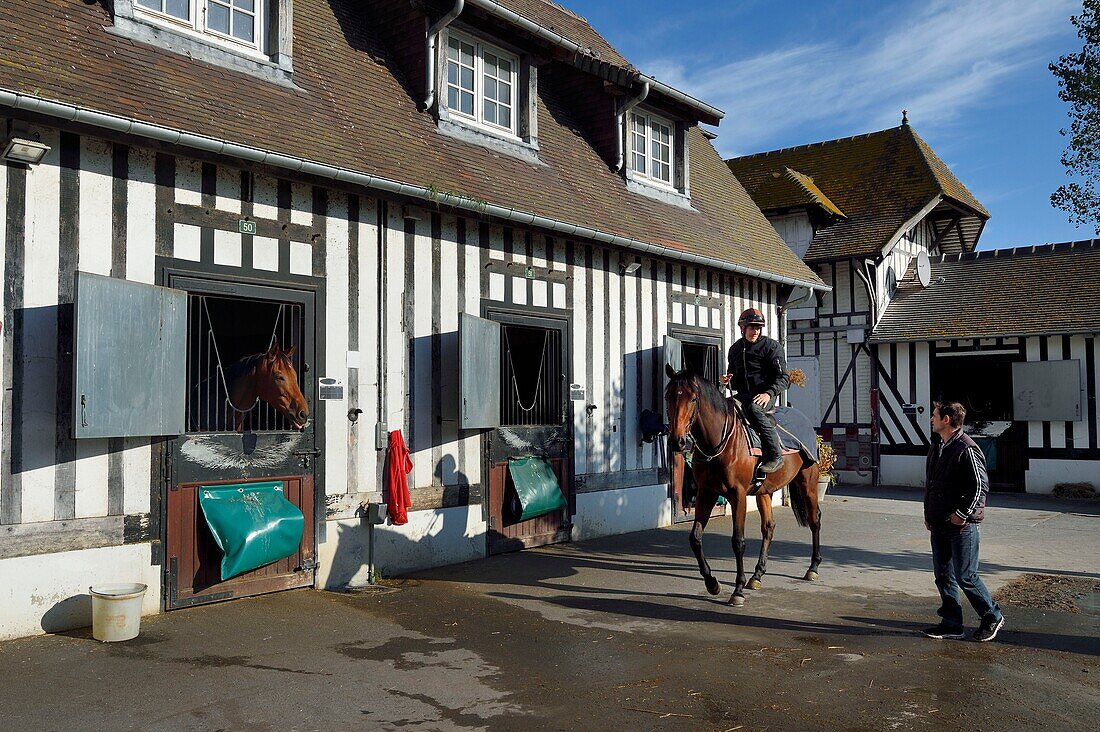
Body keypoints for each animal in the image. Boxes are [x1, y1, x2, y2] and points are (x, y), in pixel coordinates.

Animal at [660, 363, 827, 607]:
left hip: (808, 482)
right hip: (764, 491)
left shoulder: (737, 495)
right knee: (768, 527)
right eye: (668, 396)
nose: (677, 441)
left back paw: (813, 568)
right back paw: (757, 575)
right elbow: (695, 538)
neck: (720, 440)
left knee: (815, 520)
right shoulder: (706, 493)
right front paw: (712, 583)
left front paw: (737, 590)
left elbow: (738, 542)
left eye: (693, 398)